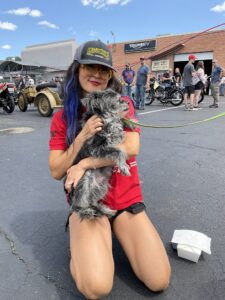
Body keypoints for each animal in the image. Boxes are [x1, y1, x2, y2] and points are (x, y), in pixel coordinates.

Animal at [67, 88, 132, 219]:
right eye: (118, 99)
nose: (128, 102)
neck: (106, 120)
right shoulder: (95, 148)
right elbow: (118, 151)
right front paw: (124, 167)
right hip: (86, 177)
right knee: (78, 206)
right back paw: (87, 211)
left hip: (102, 186)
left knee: (92, 201)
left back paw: (106, 211)